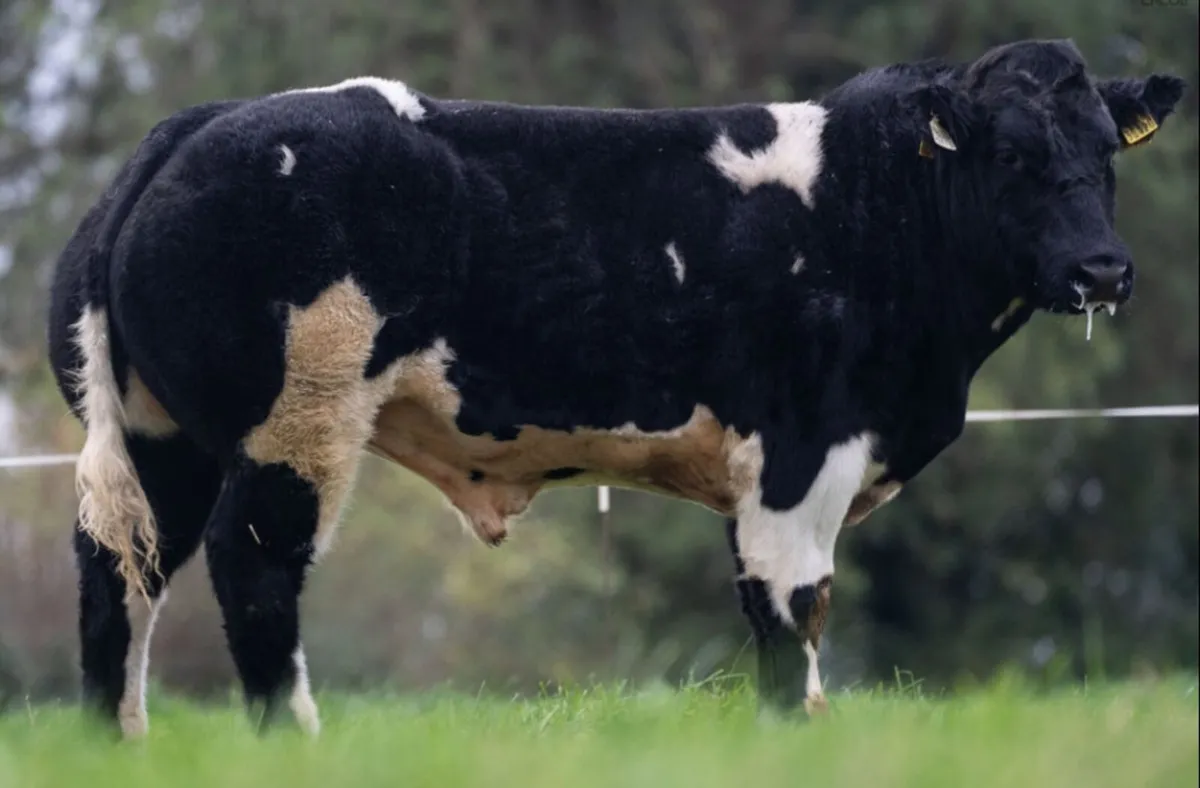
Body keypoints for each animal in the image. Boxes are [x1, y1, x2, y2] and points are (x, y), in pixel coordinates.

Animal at [47, 38, 1185, 738]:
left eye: (1104, 153)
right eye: (1010, 154)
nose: (1103, 270)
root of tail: (199, 125)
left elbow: (773, 616)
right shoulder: (801, 454)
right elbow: (793, 614)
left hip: (160, 435)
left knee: (119, 577)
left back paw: (119, 742)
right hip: (294, 424)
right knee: (253, 569)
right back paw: (296, 738)